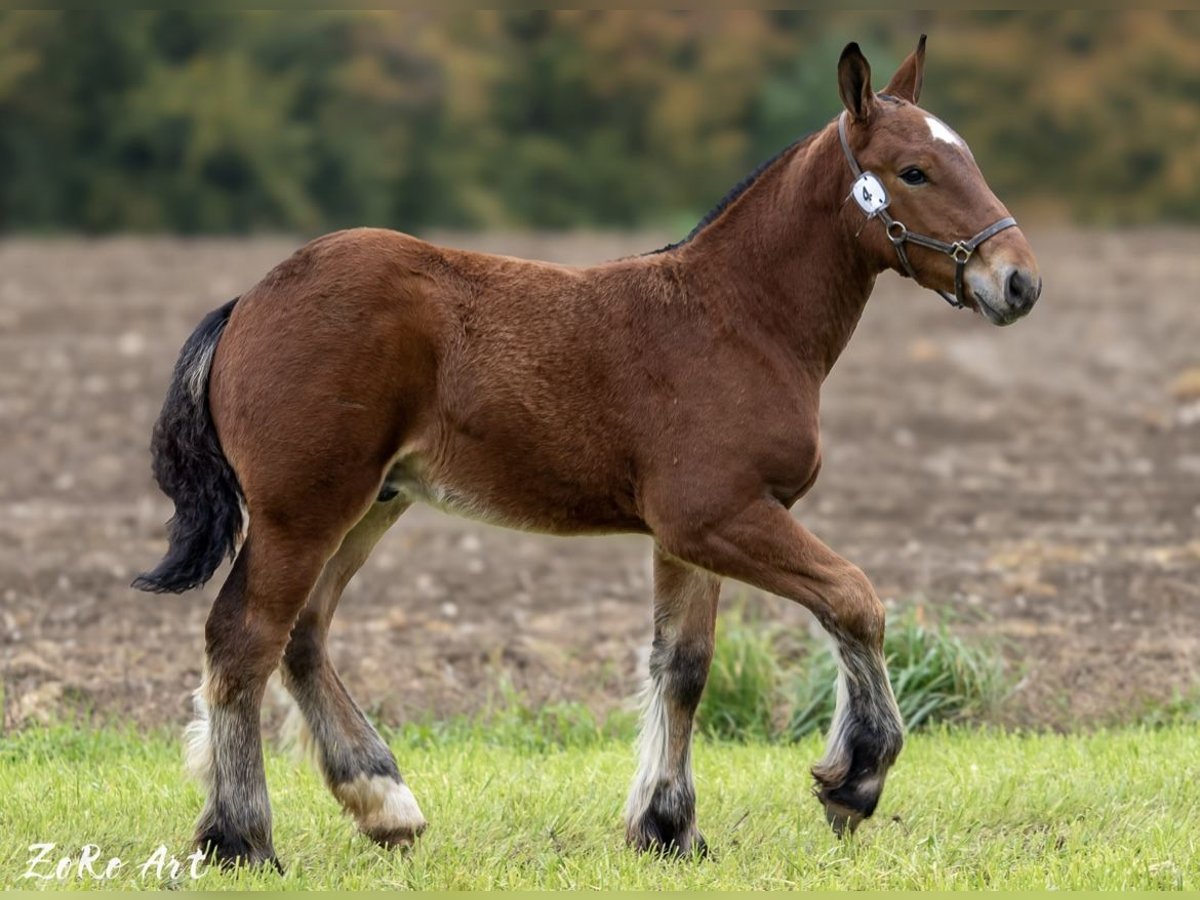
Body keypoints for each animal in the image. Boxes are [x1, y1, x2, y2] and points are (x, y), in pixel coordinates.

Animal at [133, 38, 1041, 868]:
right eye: (915, 171)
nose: (1019, 282)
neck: (739, 318)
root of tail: (248, 301)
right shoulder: (718, 516)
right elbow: (855, 599)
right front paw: (854, 779)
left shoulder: (691, 536)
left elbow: (684, 665)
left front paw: (667, 828)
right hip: (304, 510)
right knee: (245, 637)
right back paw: (240, 839)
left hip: (369, 504)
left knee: (303, 635)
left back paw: (383, 803)